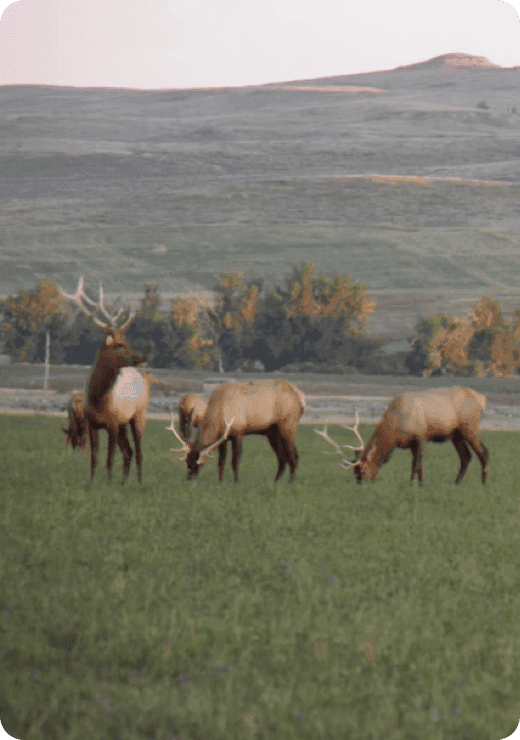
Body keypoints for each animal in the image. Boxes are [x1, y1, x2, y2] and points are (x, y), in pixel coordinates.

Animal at [60, 277, 150, 484]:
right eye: (119, 345)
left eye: (127, 342)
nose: (142, 356)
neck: (98, 400)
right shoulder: (93, 423)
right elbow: (94, 458)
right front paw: (92, 483)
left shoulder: (112, 424)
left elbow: (109, 459)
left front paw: (108, 485)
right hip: (124, 423)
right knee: (128, 452)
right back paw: (123, 483)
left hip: (138, 415)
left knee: (138, 452)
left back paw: (139, 482)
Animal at [166, 379, 305, 482]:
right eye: (187, 462)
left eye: (198, 464)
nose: (189, 479)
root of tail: (300, 397)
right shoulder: (223, 438)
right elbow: (221, 462)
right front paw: (220, 482)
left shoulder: (238, 432)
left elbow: (235, 461)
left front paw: (236, 482)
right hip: (272, 433)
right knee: (282, 457)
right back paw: (276, 482)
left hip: (287, 426)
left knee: (294, 456)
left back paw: (291, 483)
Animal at [315, 386, 488, 485]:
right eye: (354, 473)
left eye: (362, 471)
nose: (360, 485)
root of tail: (481, 399)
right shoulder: (410, 444)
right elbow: (416, 465)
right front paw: (417, 483)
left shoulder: (421, 436)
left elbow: (417, 464)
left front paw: (415, 484)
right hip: (456, 435)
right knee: (466, 456)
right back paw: (457, 482)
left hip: (470, 427)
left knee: (483, 451)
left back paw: (484, 482)